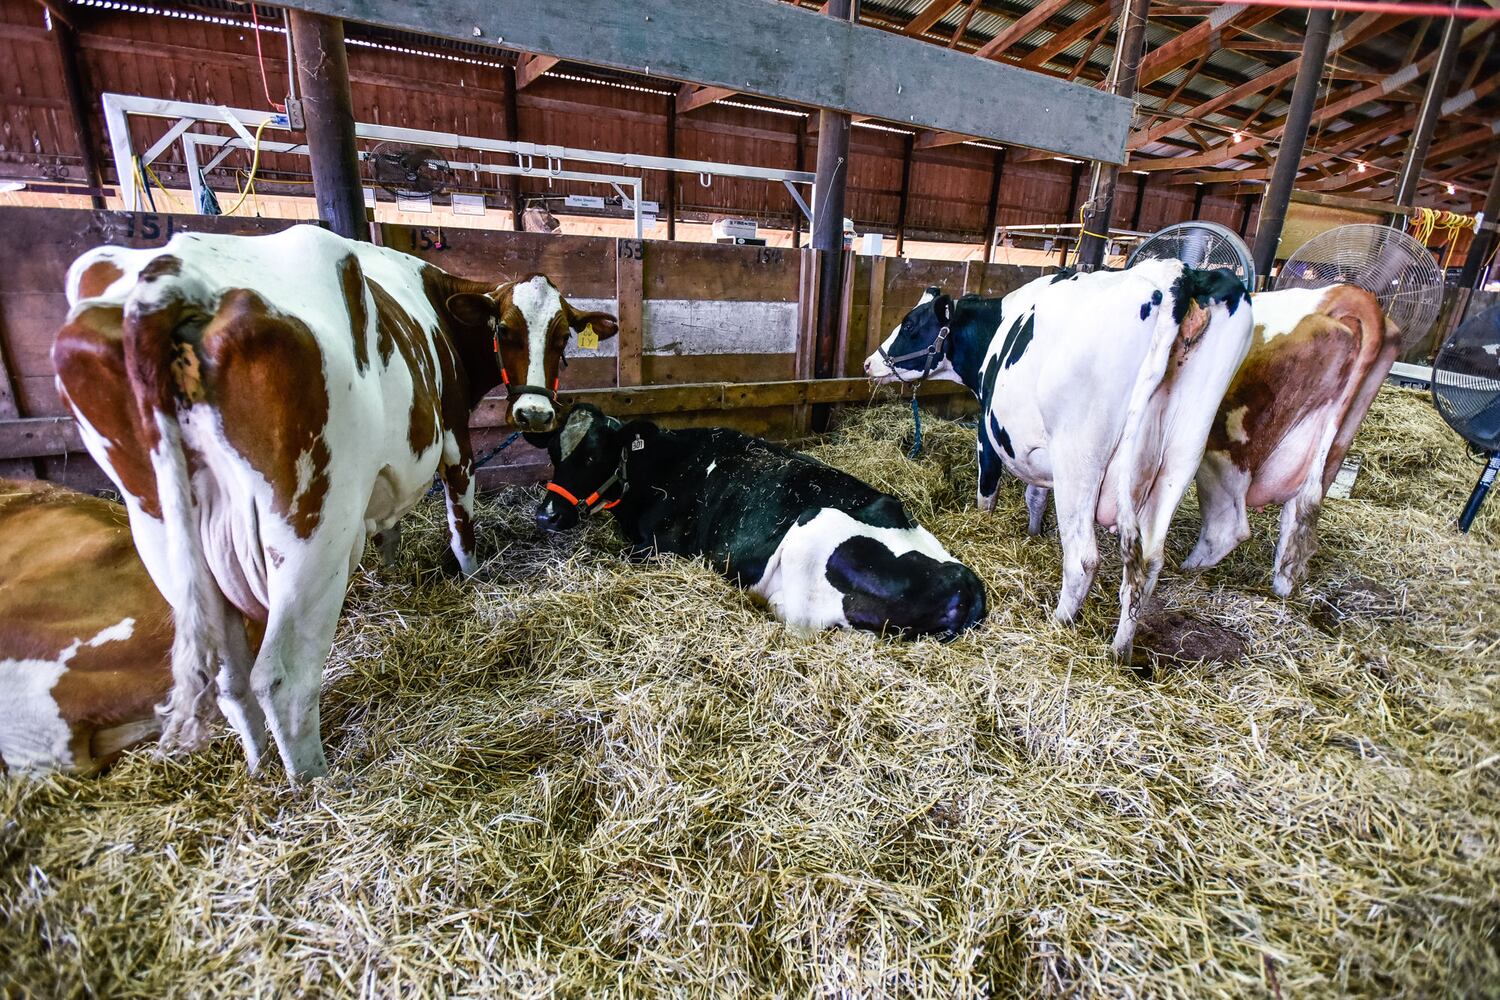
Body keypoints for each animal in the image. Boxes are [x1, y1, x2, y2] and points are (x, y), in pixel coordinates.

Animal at [52, 226, 615, 779]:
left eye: (563, 335)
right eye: (505, 331)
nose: (534, 414)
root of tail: (173, 279)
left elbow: (390, 528)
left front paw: (392, 575)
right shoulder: (456, 441)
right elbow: (462, 527)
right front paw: (474, 580)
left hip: (160, 530)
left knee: (229, 679)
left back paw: (260, 770)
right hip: (311, 528)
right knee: (281, 677)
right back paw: (314, 785)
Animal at [528, 407, 984, 641]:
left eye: (593, 455)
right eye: (552, 452)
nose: (546, 515)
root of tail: (966, 581)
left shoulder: (657, 549)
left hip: (811, 536)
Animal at [864, 262, 1248, 659]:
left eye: (910, 323)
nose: (869, 363)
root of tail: (1176, 274)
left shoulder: (990, 429)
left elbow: (988, 491)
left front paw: (984, 523)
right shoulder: (1036, 449)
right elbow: (1035, 495)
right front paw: (1033, 533)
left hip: (1078, 459)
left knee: (1082, 559)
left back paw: (1059, 624)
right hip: (1180, 459)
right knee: (1147, 566)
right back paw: (1120, 651)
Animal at [1182, 283, 1392, 593]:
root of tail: (1338, 292)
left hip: (1223, 449)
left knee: (1228, 529)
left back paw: (1186, 568)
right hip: (1332, 449)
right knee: (1296, 526)